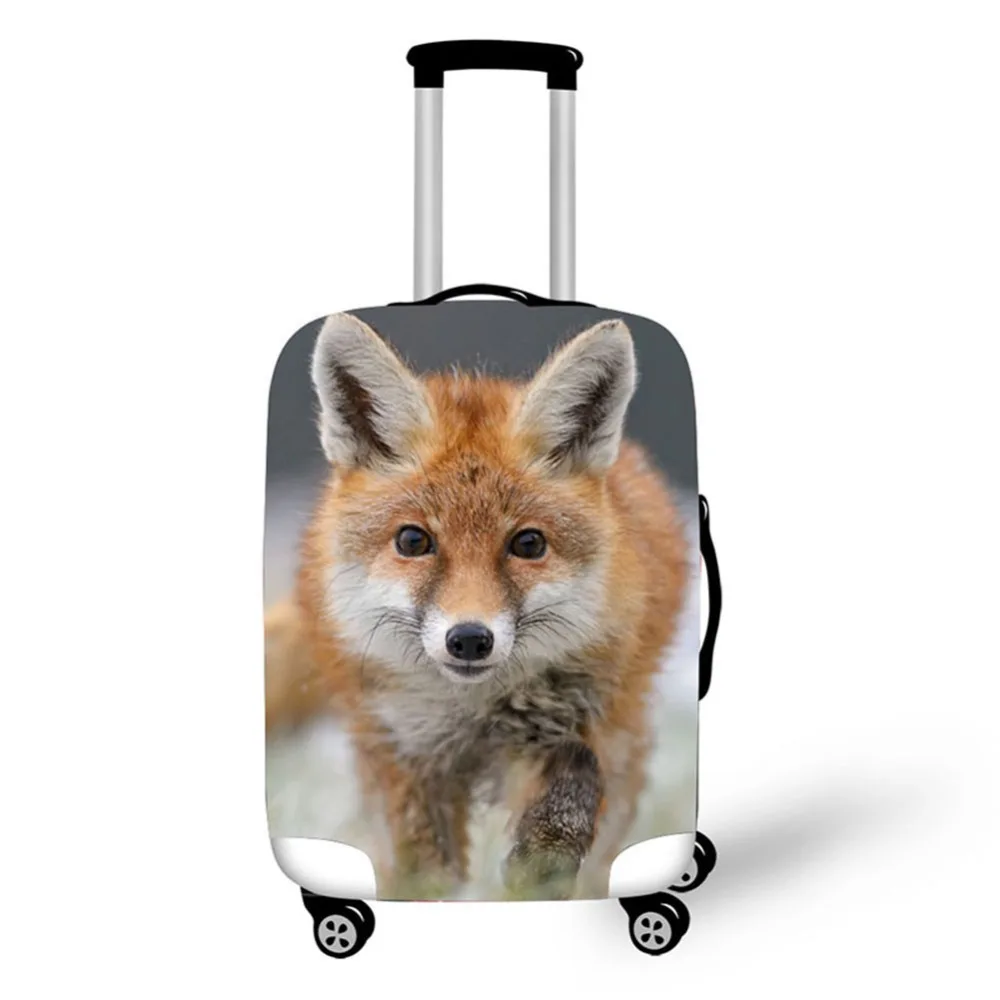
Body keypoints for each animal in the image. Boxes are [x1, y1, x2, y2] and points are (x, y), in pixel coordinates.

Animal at [265, 313, 688, 901]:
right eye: (413, 541)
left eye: (528, 544)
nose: (469, 639)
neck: (475, 715)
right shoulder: (404, 755)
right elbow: (425, 872)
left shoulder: (588, 724)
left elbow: (571, 797)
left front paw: (539, 866)